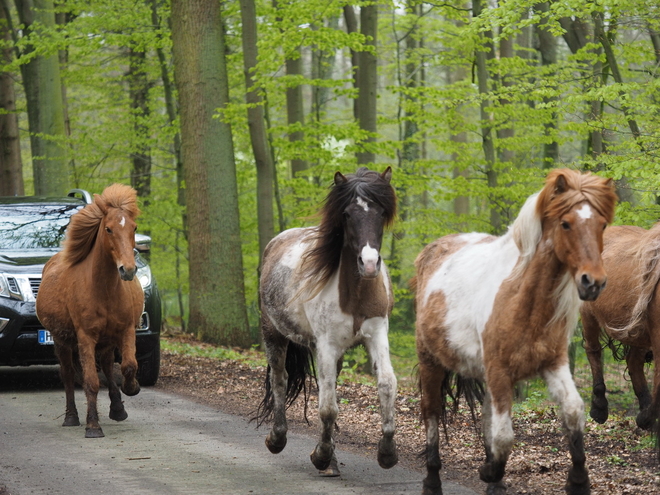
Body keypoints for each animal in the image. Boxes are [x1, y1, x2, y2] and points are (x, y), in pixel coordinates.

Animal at [37, 185, 143, 438]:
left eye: (134, 227)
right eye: (108, 229)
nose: (128, 270)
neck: (104, 290)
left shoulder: (126, 331)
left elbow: (129, 365)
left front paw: (131, 388)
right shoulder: (85, 337)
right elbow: (91, 381)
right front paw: (93, 425)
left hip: (106, 341)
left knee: (106, 365)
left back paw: (117, 409)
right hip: (62, 341)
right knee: (67, 375)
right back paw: (71, 417)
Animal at [254, 167, 398, 476]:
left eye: (381, 211)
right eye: (346, 214)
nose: (369, 264)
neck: (354, 294)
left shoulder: (376, 334)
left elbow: (386, 384)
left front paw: (387, 453)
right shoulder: (326, 346)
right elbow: (328, 408)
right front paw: (321, 456)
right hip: (273, 333)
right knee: (280, 379)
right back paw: (278, 439)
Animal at [412, 170, 620, 495]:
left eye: (602, 225)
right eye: (566, 223)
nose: (593, 282)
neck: (521, 299)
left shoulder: (553, 364)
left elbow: (573, 412)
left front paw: (578, 481)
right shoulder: (500, 372)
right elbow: (504, 436)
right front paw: (489, 472)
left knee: (486, 416)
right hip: (431, 361)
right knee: (432, 413)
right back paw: (433, 481)